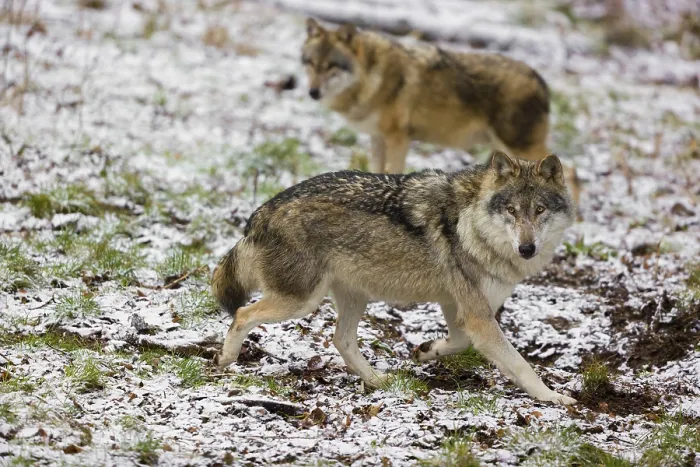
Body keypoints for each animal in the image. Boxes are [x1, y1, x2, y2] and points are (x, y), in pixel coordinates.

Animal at [212, 151, 577, 405]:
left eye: (540, 210)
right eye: (512, 211)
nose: (527, 248)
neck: (474, 225)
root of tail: (260, 215)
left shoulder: (457, 307)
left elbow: (458, 341)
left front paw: (425, 351)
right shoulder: (478, 315)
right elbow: (520, 364)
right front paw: (552, 397)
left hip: (353, 297)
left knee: (341, 340)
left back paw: (377, 380)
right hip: (302, 301)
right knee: (242, 314)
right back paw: (226, 360)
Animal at [301, 19, 580, 204]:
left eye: (331, 66)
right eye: (311, 63)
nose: (312, 92)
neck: (372, 76)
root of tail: (540, 80)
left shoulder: (398, 138)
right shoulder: (377, 137)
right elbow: (377, 170)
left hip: (520, 147)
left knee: (572, 172)